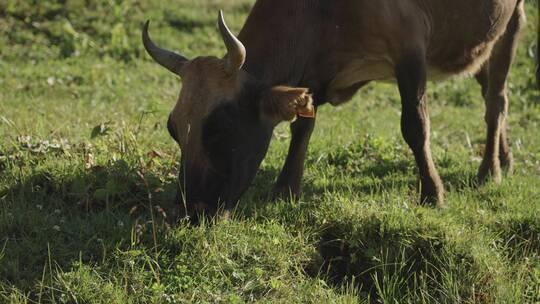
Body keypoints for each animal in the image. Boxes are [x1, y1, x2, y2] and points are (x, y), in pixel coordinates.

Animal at [144, 0, 540, 218]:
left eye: (221, 129)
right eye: (173, 128)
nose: (192, 209)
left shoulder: (411, 50)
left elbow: (415, 126)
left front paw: (433, 194)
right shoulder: (313, 71)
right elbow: (302, 126)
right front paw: (286, 188)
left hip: (513, 18)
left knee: (497, 100)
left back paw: (489, 170)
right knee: (490, 90)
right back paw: (505, 160)